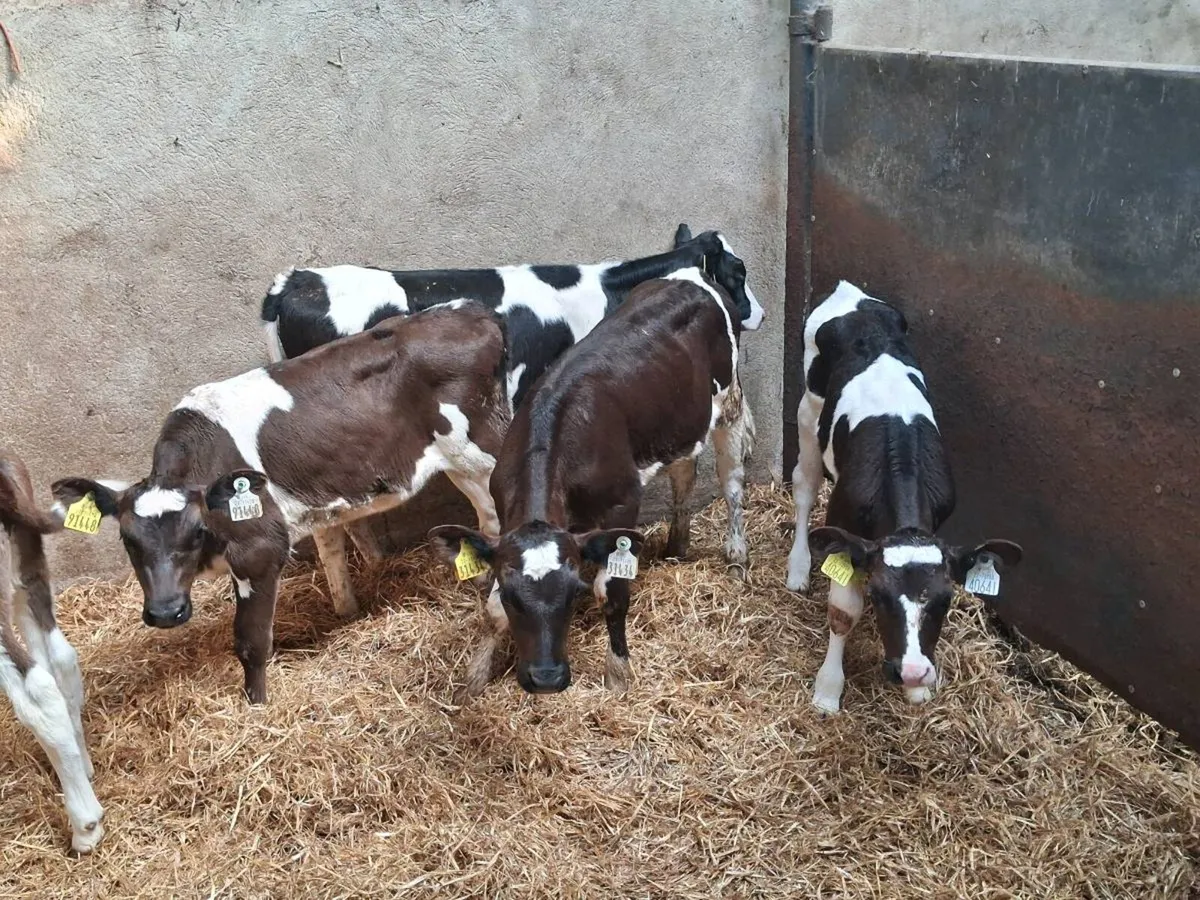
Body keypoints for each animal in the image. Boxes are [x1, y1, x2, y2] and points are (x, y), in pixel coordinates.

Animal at [51, 303, 509, 705]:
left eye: (196, 531)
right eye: (128, 540)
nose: (166, 612)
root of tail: (472, 312)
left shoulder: (259, 549)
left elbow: (251, 641)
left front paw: (256, 704)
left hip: (480, 455)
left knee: (493, 520)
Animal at [427, 266, 753, 698]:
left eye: (573, 594)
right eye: (514, 598)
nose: (547, 678)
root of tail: (691, 273)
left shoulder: (623, 505)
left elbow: (612, 594)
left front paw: (618, 673)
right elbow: (491, 609)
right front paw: (474, 677)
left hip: (729, 402)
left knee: (731, 483)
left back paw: (736, 556)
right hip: (682, 422)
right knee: (684, 474)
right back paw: (677, 545)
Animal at [785, 281, 1022, 714]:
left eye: (945, 600)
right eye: (879, 597)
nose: (912, 671)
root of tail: (849, 291)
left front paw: (917, 691)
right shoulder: (843, 527)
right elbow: (842, 614)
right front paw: (828, 690)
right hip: (808, 409)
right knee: (805, 485)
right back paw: (798, 567)